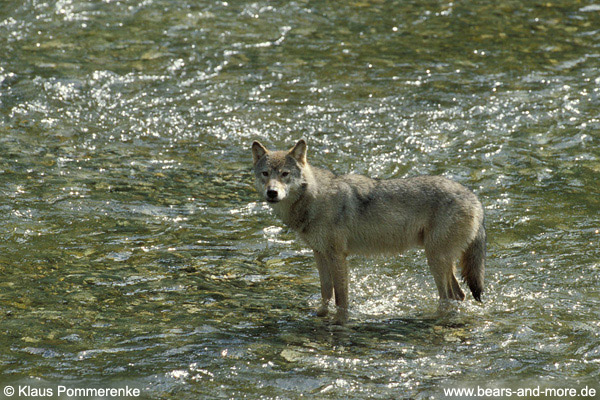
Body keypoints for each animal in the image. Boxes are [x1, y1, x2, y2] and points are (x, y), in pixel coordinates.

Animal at [251, 138, 486, 324]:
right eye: (265, 173)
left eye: (285, 174)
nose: (272, 193)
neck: (315, 198)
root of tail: (475, 199)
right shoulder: (319, 254)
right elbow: (326, 292)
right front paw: (320, 315)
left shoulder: (337, 256)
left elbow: (341, 298)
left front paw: (340, 321)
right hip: (441, 260)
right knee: (459, 295)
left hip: (435, 260)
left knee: (448, 297)